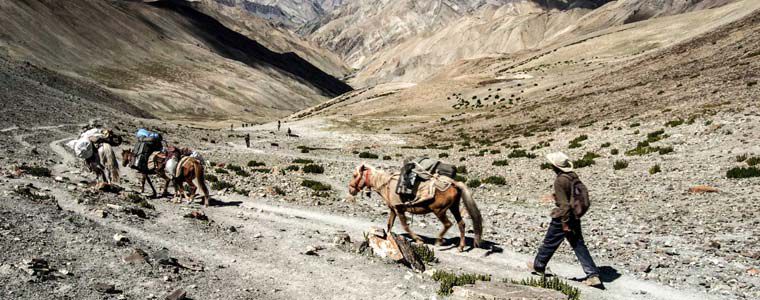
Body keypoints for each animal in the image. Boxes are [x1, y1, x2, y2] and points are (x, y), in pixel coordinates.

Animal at [348, 163, 484, 252]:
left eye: (355, 175)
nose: (350, 190)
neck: (386, 185)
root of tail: (453, 183)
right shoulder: (393, 210)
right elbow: (389, 225)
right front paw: (387, 238)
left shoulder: (399, 209)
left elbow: (405, 226)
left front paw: (418, 239)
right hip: (454, 208)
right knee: (461, 224)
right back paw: (461, 247)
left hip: (439, 211)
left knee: (448, 224)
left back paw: (439, 241)